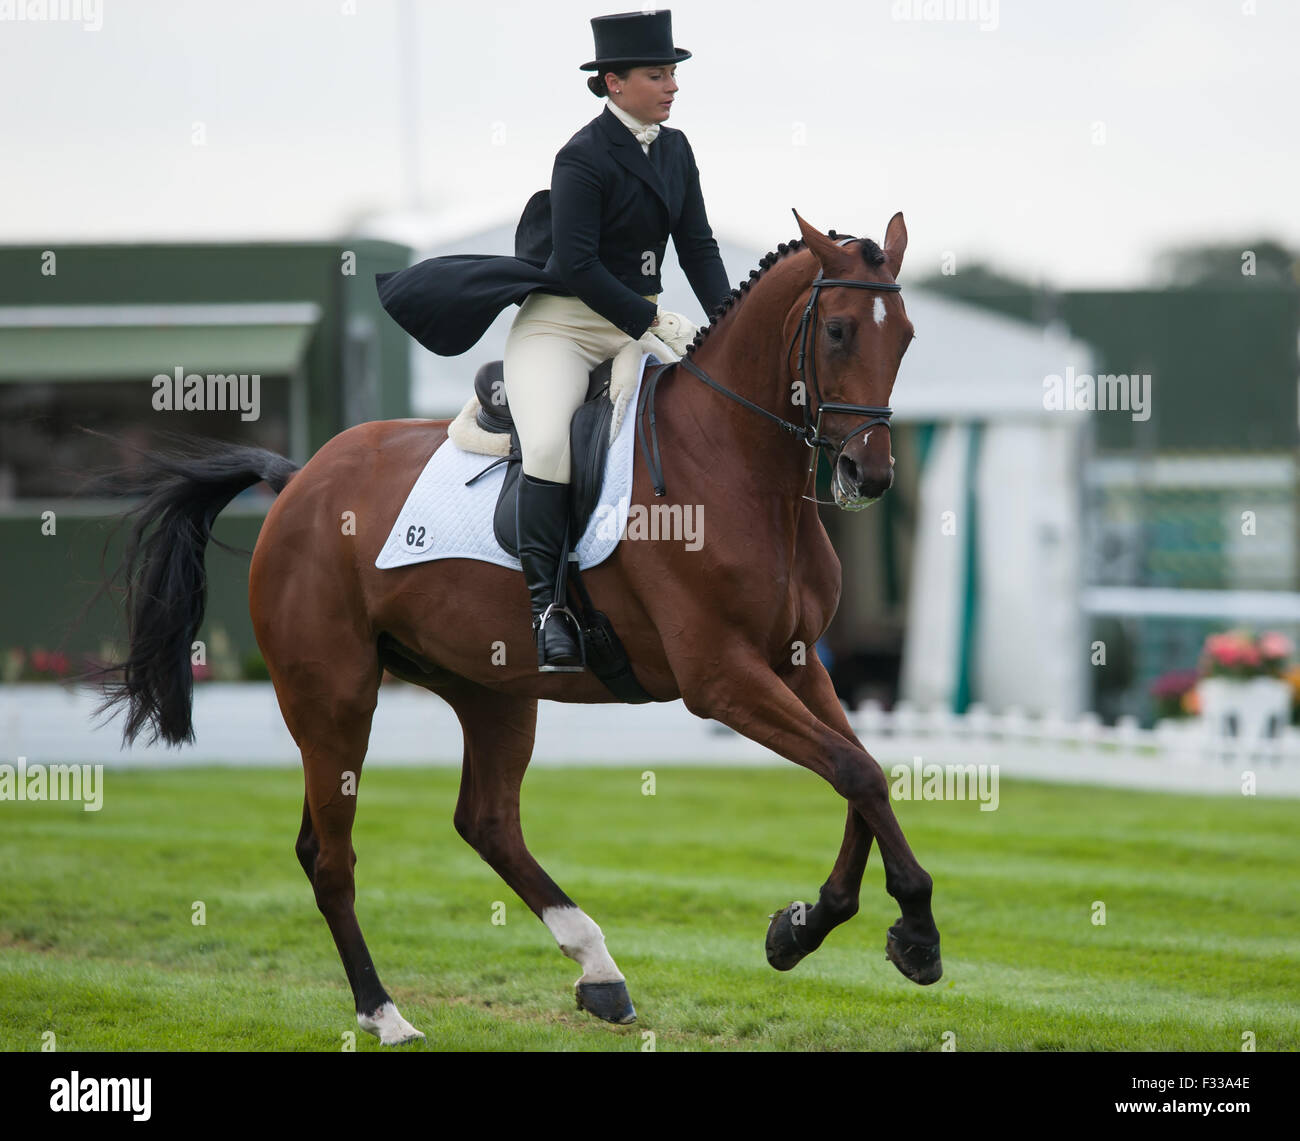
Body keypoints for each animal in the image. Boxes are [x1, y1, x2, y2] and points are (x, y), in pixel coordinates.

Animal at [96, 211, 941, 1044]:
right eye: (838, 331)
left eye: (904, 336)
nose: (869, 475)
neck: (737, 464)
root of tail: (299, 479)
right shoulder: (723, 678)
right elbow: (855, 769)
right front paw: (910, 928)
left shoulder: (796, 664)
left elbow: (862, 771)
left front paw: (809, 924)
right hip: (333, 696)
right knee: (329, 854)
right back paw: (384, 1011)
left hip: (491, 686)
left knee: (487, 822)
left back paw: (598, 970)